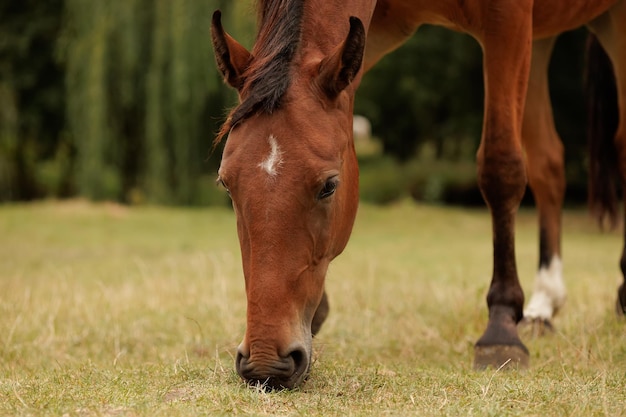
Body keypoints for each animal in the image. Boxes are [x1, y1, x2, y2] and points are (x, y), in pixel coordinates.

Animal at [211, 0, 624, 390]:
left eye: (329, 186)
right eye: (227, 185)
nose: (266, 362)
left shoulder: (507, 20)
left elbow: (500, 168)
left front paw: (501, 327)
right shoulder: (376, 32)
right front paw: (316, 315)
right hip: (541, 40)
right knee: (548, 164)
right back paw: (544, 304)